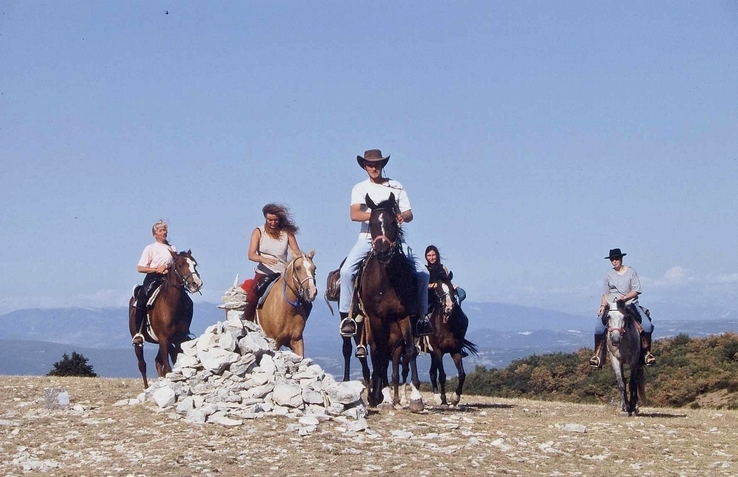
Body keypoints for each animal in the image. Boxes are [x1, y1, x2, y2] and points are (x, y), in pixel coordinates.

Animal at [127, 247, 201, 388]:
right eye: (180, 265)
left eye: (195, 264)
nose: (196, 284)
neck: (172, 304)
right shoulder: (163, 338)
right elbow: (168, 368)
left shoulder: (178, 339)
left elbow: (176, 363)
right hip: (140, 343)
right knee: (142, 365)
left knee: (157, 361)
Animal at [360, 192, 422, 410]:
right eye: (371, 223)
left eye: (393, 222)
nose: (383, 252)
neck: (387, 281)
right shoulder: (377, 319)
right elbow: (380, 354)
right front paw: (383, 397)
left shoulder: (404, 316)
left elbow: (410, 351)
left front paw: (416, 397)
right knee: (378, 354)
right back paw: (377, 396)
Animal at [420, 270, 478, 408]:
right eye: (438, 290)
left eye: (452, 289)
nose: (449, 307)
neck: (446, 326)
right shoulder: (438, 351)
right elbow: (442, 375)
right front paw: (444, 400)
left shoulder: (455, 350)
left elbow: (462, 374)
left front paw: (455, 398)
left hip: (433, 354)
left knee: (432, 372)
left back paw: (436, 397)